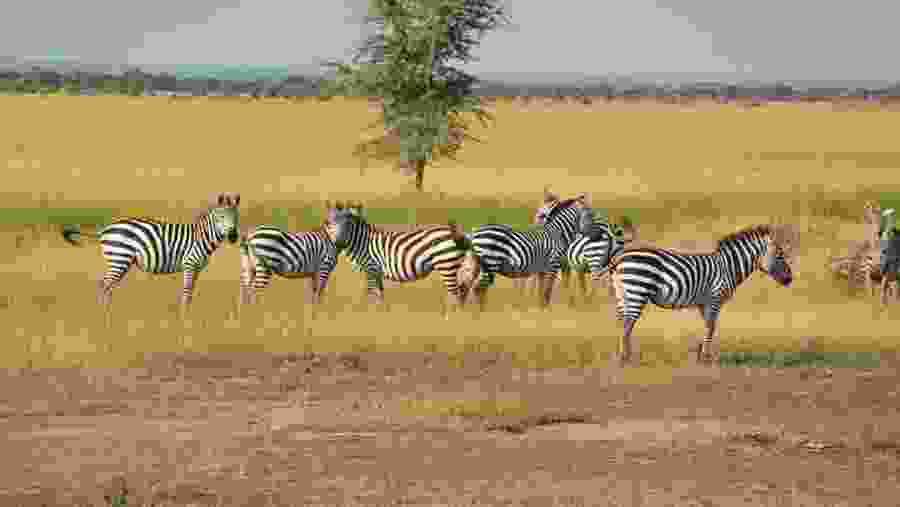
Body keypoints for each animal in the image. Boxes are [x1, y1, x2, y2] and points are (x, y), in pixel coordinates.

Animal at [60, 193, 241, 315]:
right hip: (119, 258)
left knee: (107, 286)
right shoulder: (190, 264)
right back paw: (103, 314)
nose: (233, 237)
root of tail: (104, 230)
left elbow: (191, 293)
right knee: (104, 285)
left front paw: (188, 314)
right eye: (220, 217)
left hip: (119, 260)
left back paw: (107, 313)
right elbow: (187, 292)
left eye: (236, 217)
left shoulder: (196, 269)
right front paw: (184, 317)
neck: (203, 236)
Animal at [325, 201, 470, 318]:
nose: (337, 243)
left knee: (456, 295)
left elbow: (372, 295)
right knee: (462, 293)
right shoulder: (377, 273)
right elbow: (380, 295)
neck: (361, 242)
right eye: (329, 223)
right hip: (455, 267)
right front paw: (382, 314)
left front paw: (372, 315)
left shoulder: (371, 268)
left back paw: (451, 318)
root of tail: (457, 234)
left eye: (346, 225)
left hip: (446, 264)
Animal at [607, 223, 796, 365]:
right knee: (628, 324)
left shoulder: (704, 303)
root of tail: (619, 258)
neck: (729, 266)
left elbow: (707, 326)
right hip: (637, 290)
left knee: (623, 323)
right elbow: (711, 326)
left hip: (623, 293)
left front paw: (700, 355)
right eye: (780, 255)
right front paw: (706, 358)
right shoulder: (715, 297)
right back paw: (626, 359)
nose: (790, 279)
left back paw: (623, 357)